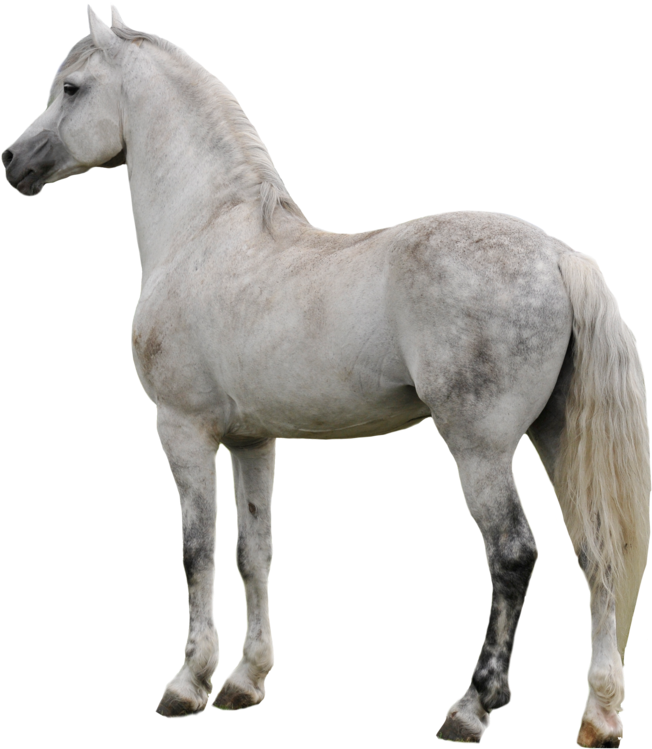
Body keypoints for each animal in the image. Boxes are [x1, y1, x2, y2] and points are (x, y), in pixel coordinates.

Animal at [3, 4, 648, 744]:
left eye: (72, 89)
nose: (12, 161)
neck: (206, 234)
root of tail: (560, 257)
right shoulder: (252, 441)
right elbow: (254, 551)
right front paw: (245, 680)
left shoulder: (183, 429)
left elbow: (196, 549)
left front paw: (187, 683)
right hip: (557, 436)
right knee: (598, 552)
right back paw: (598, 714)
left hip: (480, 448)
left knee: (513, 553)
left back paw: (472, 705)